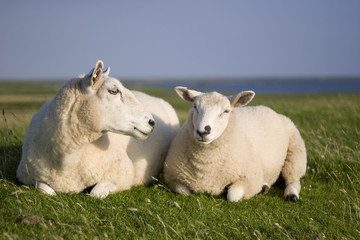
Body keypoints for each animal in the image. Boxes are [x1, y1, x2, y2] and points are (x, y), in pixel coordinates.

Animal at [16, 61, 180, 198]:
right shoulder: (25, 175)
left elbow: (95, 194)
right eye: (113, 91)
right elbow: (46, 191)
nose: (151, 122)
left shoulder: (123, 174)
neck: (67, 160)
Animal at [163, 87, 306, 202]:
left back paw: (291, 195)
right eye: (195, 107)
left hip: (296, 153)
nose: (203, 131)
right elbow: (184, 191)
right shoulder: (171, 177)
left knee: (293, 179)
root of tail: (268, 109)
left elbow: (233, 195)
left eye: (226, 111)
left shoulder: (251, 177)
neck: (205, 168)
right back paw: (265, 187)